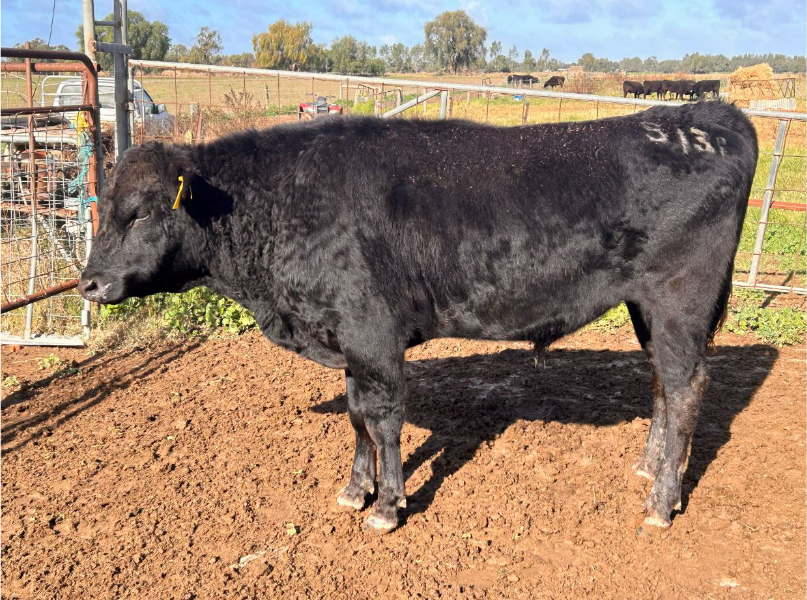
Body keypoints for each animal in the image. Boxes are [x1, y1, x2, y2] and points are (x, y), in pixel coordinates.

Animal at [79, 102, 758, 535]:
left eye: (142, 211)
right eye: (103, 204)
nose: (88, 282)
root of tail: (706, 116)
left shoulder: (373, 337)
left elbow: (382, 421)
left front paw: (388, 506)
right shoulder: (351, 343)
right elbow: (355, 416)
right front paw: (356, 491)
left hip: (678, 301)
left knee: (687, 385)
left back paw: (662, 500)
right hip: (648, 308)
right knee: (663, 382)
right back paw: (651, 465)